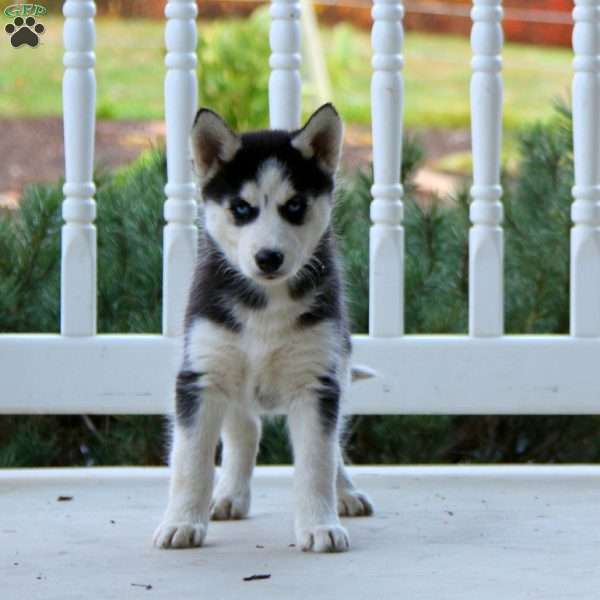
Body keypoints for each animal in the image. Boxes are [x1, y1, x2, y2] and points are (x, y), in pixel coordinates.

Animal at [152, 103, 372, 552]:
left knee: (334, 446)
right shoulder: (201, 375)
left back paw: (345, 493)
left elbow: (317, 462)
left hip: (338, 366)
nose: (268, 258)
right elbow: (190, 460)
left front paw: (320, 525)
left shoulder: (317, 382)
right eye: (241, 208)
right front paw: (182, 521)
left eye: (295, 206)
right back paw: (230, 495)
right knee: (245, 430)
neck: (265, 304)